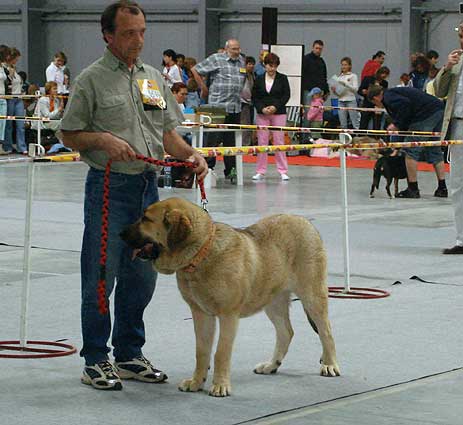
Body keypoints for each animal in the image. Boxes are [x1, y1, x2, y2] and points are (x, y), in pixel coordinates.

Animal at [121, 197, 340, 396]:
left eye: (145, 218)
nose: (120, 233)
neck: (201, 253)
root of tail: (306, 222)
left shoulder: (228, 316)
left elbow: (221, 352)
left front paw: (220, 386)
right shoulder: (201, 314)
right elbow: (202, 351)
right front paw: (196, 382)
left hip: (312, 295)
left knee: (326, 331)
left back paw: (329, 365)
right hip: (273, 301)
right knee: (286, 332)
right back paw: (271, 365)